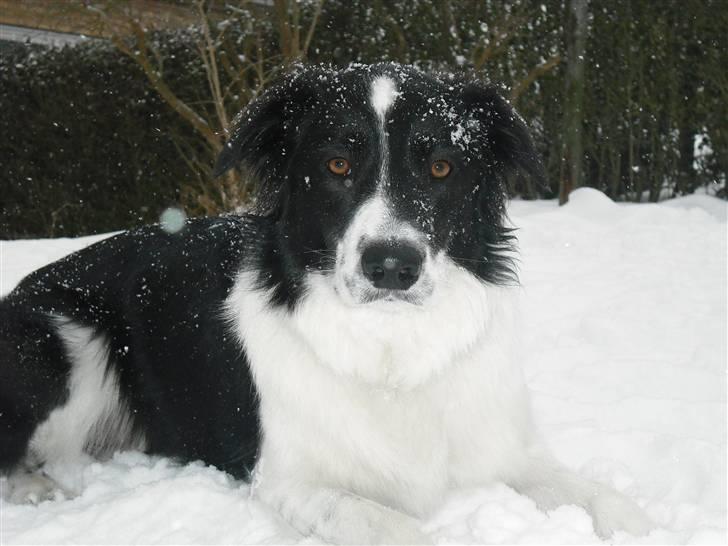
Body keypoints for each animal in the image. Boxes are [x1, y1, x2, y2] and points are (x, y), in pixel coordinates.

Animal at [0, 63, 652, 540]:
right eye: (338, 164)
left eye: (441, 167)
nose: (391, 266)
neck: (391, 349)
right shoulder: (294, 480)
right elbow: (398, 527)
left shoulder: (504, 447)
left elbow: (600, 497)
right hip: (64, 343)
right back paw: (36, 490)